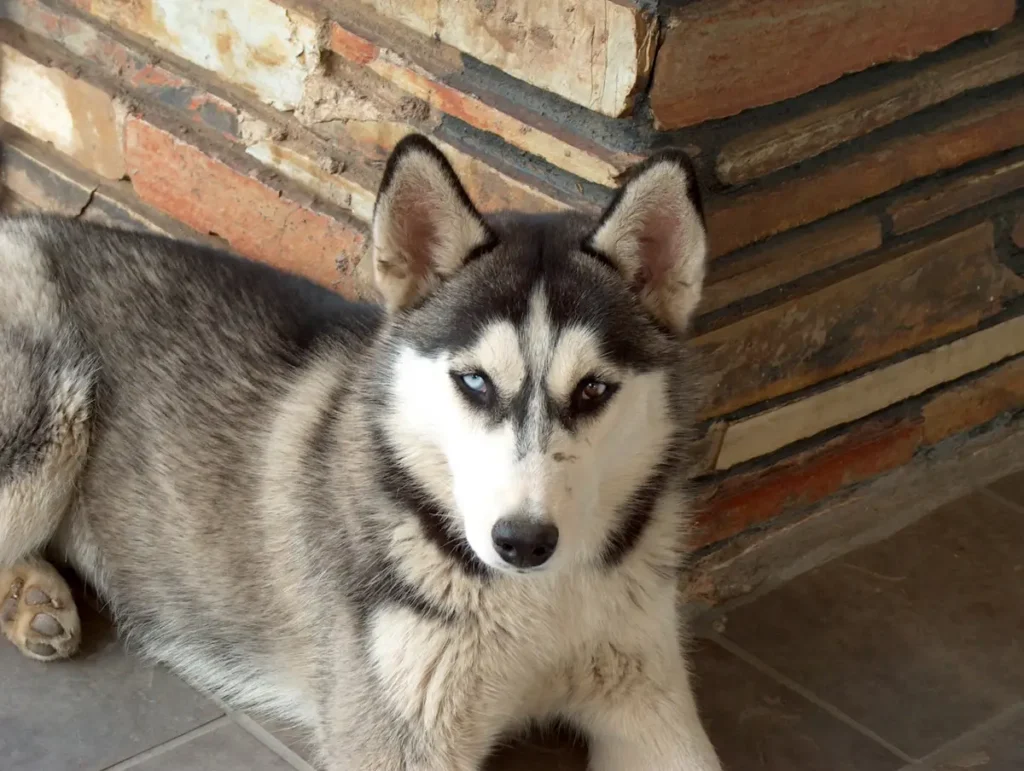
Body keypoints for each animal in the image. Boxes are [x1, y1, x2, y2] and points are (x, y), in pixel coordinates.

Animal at [0, 135, 720, 765]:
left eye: (594, 388)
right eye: (475, 381)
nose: (523, 541)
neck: (539, 602)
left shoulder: (648, 696)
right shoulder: (398, 736)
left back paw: (31, 600)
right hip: (48, 426)